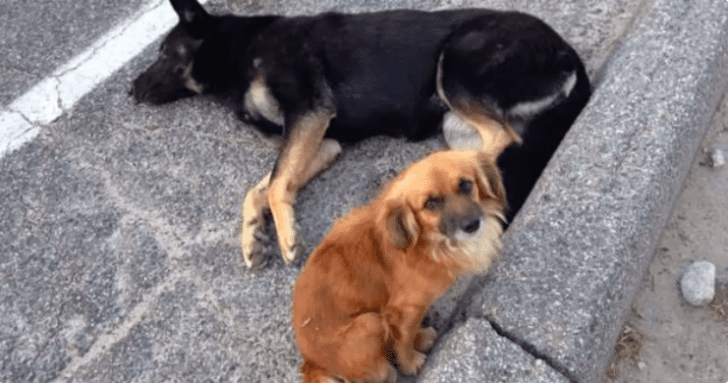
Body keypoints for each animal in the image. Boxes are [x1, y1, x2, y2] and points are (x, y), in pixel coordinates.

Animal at [131, 0, 588, 268]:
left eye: (163, 53)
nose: (129, 90)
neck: (242, 50)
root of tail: (569, 54)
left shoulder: (309, 111)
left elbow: (275, 182)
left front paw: (286, 236)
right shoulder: (324, 140)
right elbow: (262, 187)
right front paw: (252, 235)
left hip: (455, 65)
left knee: (502, 139)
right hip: (453, 123)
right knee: (489, 148)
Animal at [290, 149, 506, 380]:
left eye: (466, 184)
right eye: (431, 203)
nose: (472, 225)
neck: (428, 244)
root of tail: (311, 363)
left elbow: (406, 333)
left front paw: (417, 338)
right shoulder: (403, 310)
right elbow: (403, 340)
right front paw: (409, 363)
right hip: (370, 323)